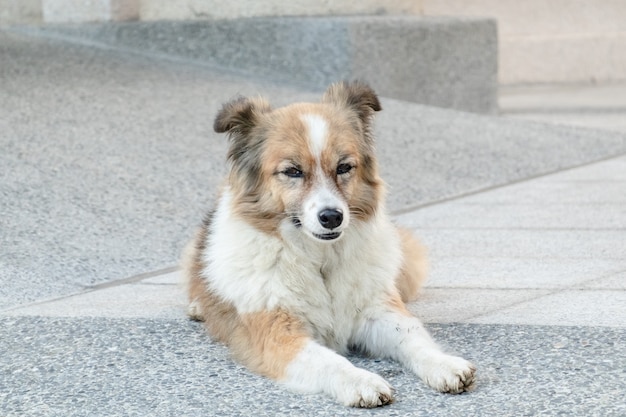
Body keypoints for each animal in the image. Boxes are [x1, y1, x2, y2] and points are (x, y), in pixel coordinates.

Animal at [183, 81, 476, 406]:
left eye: (344, 167)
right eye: (293, 171)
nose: (332, 217)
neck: (319, 260)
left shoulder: (377, 310)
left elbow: (412, 336)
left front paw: (443, 363)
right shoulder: (278, 333)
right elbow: (328, 360)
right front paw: (361, 381)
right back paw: (198, 306)